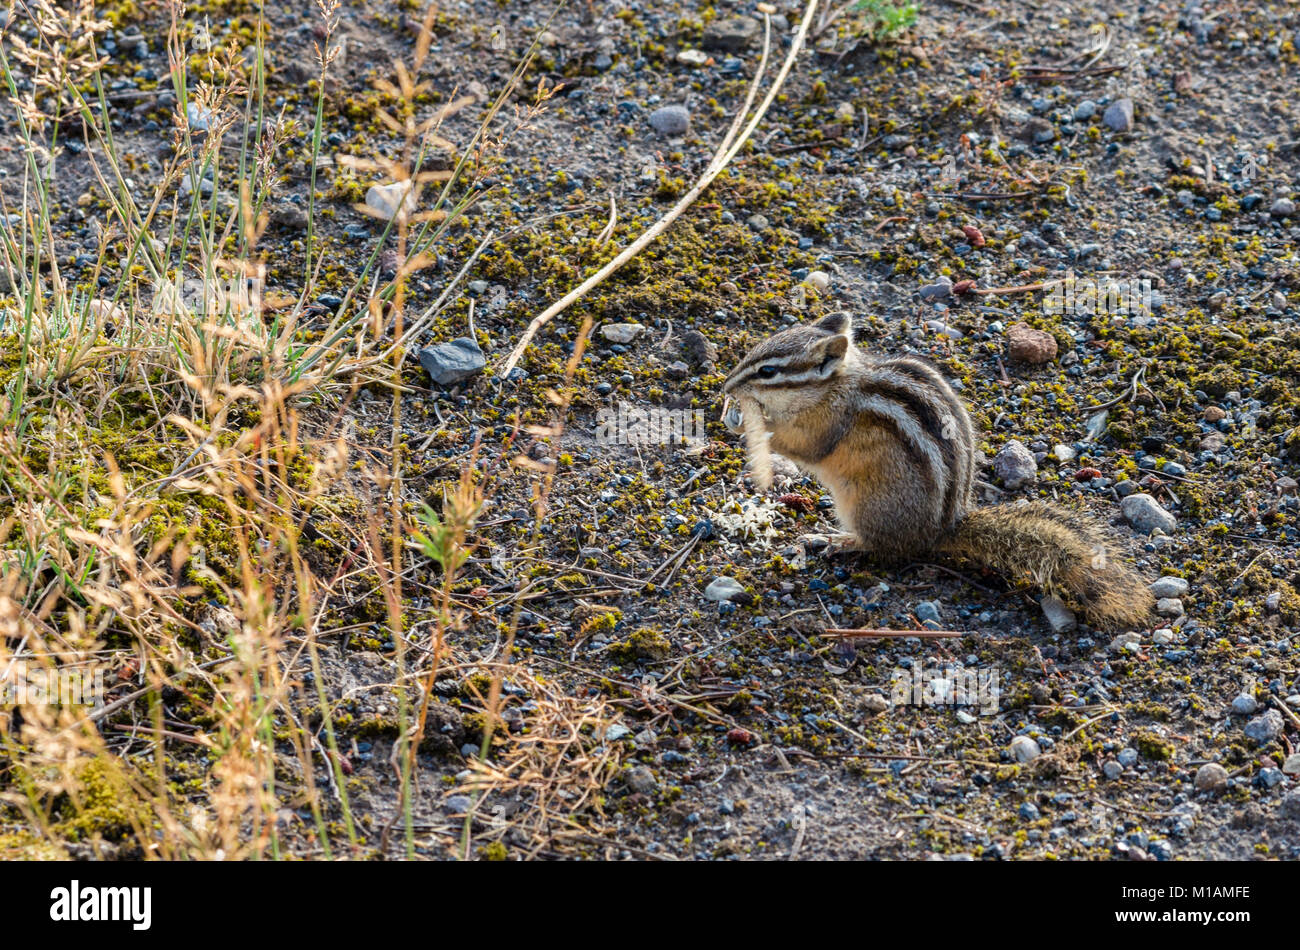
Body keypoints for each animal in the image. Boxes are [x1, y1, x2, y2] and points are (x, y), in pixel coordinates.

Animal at [721, 311, 1153, 630]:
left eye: (768, 372)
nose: (726, 387)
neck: (836, 385)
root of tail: (942, 529)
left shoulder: (828, 424)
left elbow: (802, 445)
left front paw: (745, 424)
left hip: (867, 505)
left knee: (885, 547)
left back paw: (840, 540)